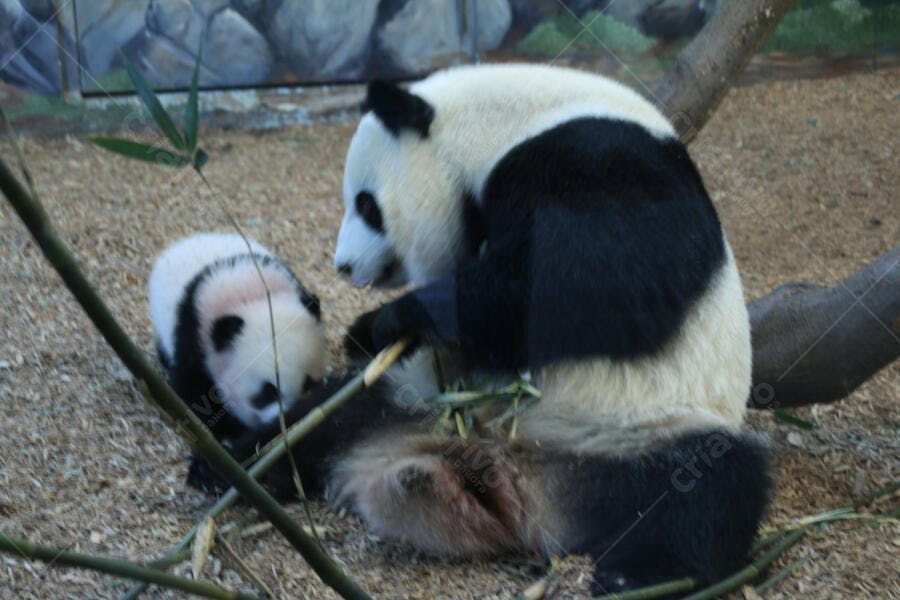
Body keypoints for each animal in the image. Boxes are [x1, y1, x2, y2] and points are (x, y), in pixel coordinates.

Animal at [148, 232, 327, 488]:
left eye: (309, 384)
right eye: (268, 391)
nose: (288, 424)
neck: (253, 296)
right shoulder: (194, 340)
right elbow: (196, 397)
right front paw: (211, 462)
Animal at [239, 64, 770, 595]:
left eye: (367, 205)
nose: (344, 266)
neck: (506, 122)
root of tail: (509, 470)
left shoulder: (597, 156)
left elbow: (602, 279)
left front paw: (404, 315)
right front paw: (366, 329)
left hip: (636, 432)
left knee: (711, 487)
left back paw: (639, 575)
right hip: (412, 397)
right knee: (328, 417)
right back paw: (247, 465)